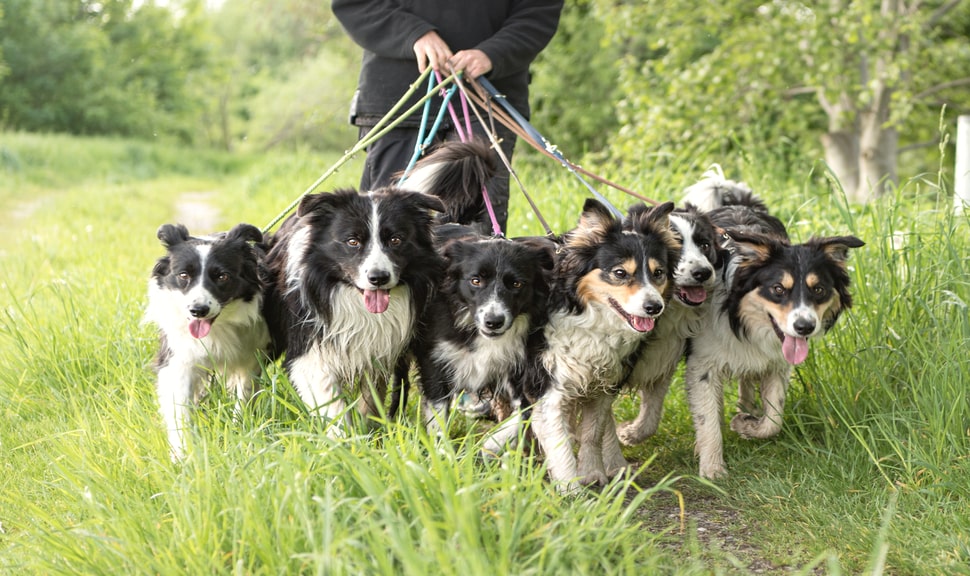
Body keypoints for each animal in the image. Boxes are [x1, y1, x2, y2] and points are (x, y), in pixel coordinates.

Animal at [142, 220, 268, 460]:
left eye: (222, 276)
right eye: (183, 275)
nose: (198, 310)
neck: (218, 327)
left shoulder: (250, 354)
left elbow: (244, 394)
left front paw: (239, 430)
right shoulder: (179, 357)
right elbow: (179, 408)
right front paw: (181, 454)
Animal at [524, 199, 676, 490]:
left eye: (658, 273)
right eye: (620, 273)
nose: (655, 308)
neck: (589, 318)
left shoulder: (605, 382)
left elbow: (593, 431)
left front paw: (592, 471)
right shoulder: (551, 384)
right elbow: (558, 440)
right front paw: (570, 488)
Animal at [680, 174, 864, 476]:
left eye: (819, 290)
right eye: (778, 289)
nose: (804, 327)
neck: (742, 320)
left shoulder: (778, 362)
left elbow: (774, 419)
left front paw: (746, 425)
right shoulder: (702, 363)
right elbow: (707, 416)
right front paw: (712, 467)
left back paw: (746, 407)